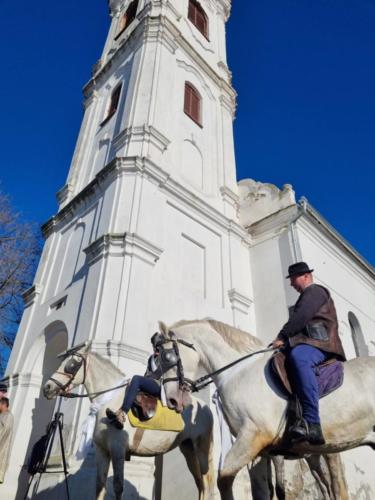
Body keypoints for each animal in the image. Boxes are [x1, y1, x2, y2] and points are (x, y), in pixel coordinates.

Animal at [43, 344, 214, 500]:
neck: (108, 400)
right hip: (188, 448)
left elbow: (118, 486)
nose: (47, 388)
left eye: (71, 364)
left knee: (206, 482)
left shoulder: (117, 449)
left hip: (202, 446)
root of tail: (203, 406)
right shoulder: (102, 451)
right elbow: (100, 486)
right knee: (200, 483)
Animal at [161, 320, 370, 500]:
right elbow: (264, 490)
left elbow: (224, 478)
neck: (238, 371)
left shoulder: (253, 437)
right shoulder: (261, 452)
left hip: (330, 447)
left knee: (337, 487)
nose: (171, 400)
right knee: (326, 487)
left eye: (165, 357)